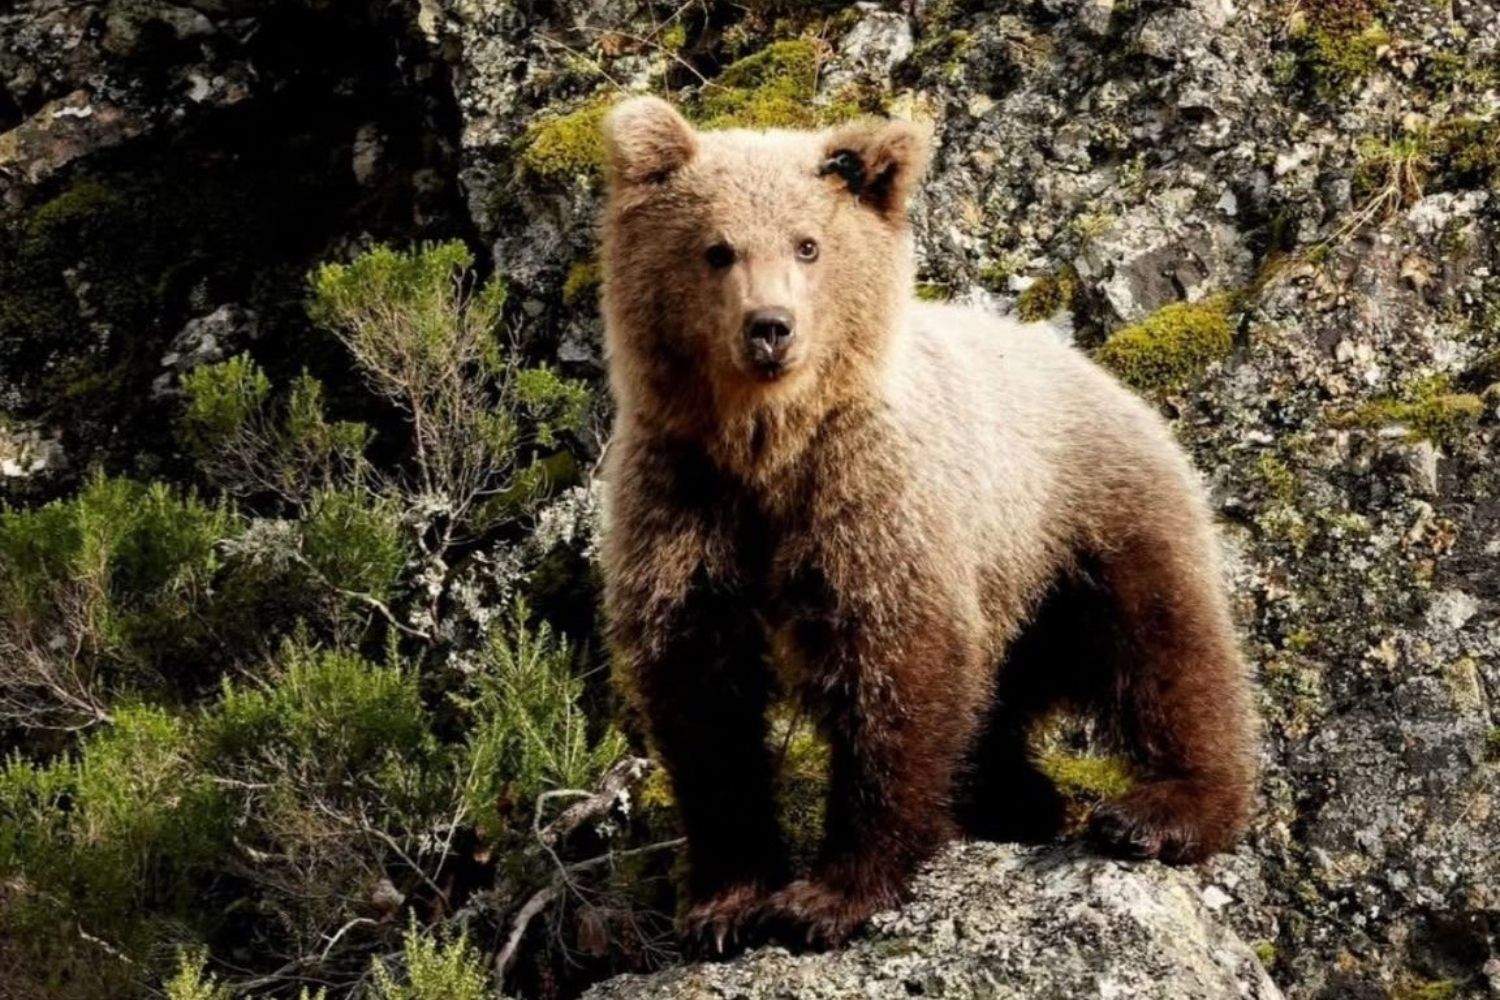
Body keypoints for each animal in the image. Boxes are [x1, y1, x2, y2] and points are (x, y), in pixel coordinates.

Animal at [597, 96, 1257, 952]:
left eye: (808, 244)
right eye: (717, 249)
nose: (770, 326)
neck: (768, 446)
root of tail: (1095, 367)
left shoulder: (873, 501)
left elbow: (896, 675)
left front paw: (830, 895)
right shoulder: (686, 500)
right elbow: (702, 697)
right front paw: (727, 903)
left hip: (1081, 518)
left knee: (1164, 646)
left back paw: (1163, 808)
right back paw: (1018, 800)